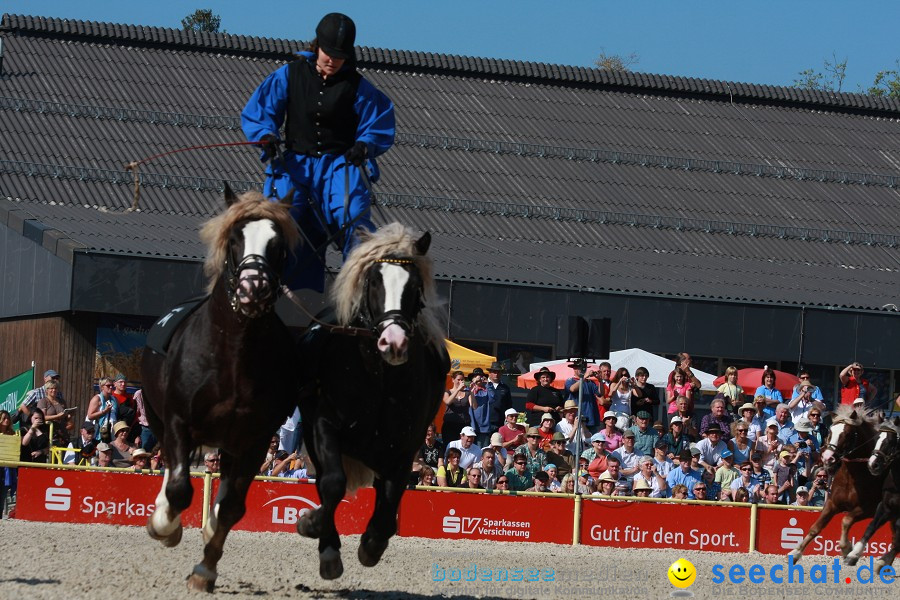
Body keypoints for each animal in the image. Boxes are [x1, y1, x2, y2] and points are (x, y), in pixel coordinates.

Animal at [142, 186, 298, 592]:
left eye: (278, 244)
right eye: (234, 239)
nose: (253, 288)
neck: (232, 356)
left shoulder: (255, 440)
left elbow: (230, 508)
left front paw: (205, 569)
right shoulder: (178, 423)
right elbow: (180, 489)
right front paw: (164, 525)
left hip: (230, 443)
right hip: (159, 421)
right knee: (170, 469)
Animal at [296, 223, 450, 580]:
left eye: (415, 285)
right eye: (374, 281)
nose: (393, 342)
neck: (379, 377)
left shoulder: (405, 446)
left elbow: (391, 496)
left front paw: (372, 543)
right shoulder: (324, 426)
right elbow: (333, 484)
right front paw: (313, 526)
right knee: (324, 481)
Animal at [788, 406, 884, 560]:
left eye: (848, 434)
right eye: (830, 432)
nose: (827, 458)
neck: (852, 478)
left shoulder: (868, 508)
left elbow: (846, 520)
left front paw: (846, 548)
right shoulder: (832, 503)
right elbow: (816, 527)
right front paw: (795, 553)